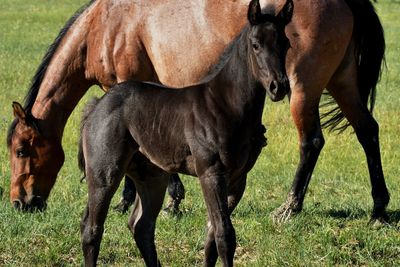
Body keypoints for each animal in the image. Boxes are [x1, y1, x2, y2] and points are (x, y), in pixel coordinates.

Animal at [78, 1, 292, 266]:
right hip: (104, 174)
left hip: (152, 177)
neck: (225, 104)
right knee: (92, 229)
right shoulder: (211, 173)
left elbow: (212, 237)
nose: (279, 86)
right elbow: (224, 235)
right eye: (256, 44)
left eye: (286, 43)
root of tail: (97, 105)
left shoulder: (238, 179)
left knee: (141, 225)